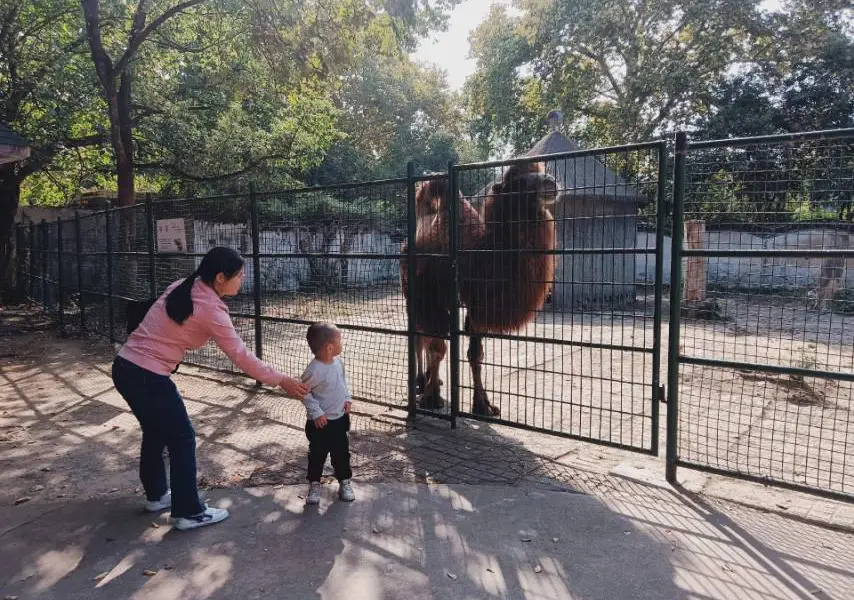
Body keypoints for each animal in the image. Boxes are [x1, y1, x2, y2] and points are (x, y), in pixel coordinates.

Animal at [402, 164, 560, 418]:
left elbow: (475, 355)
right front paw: (430, 399)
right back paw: (420, 382)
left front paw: (483, 405)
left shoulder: (477, 306)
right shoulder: (431, 296)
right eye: (518, 181)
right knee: (419, 336)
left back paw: (430, 380)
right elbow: (437, 348)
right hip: (413, 293)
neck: (479, 255)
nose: (550, 182)